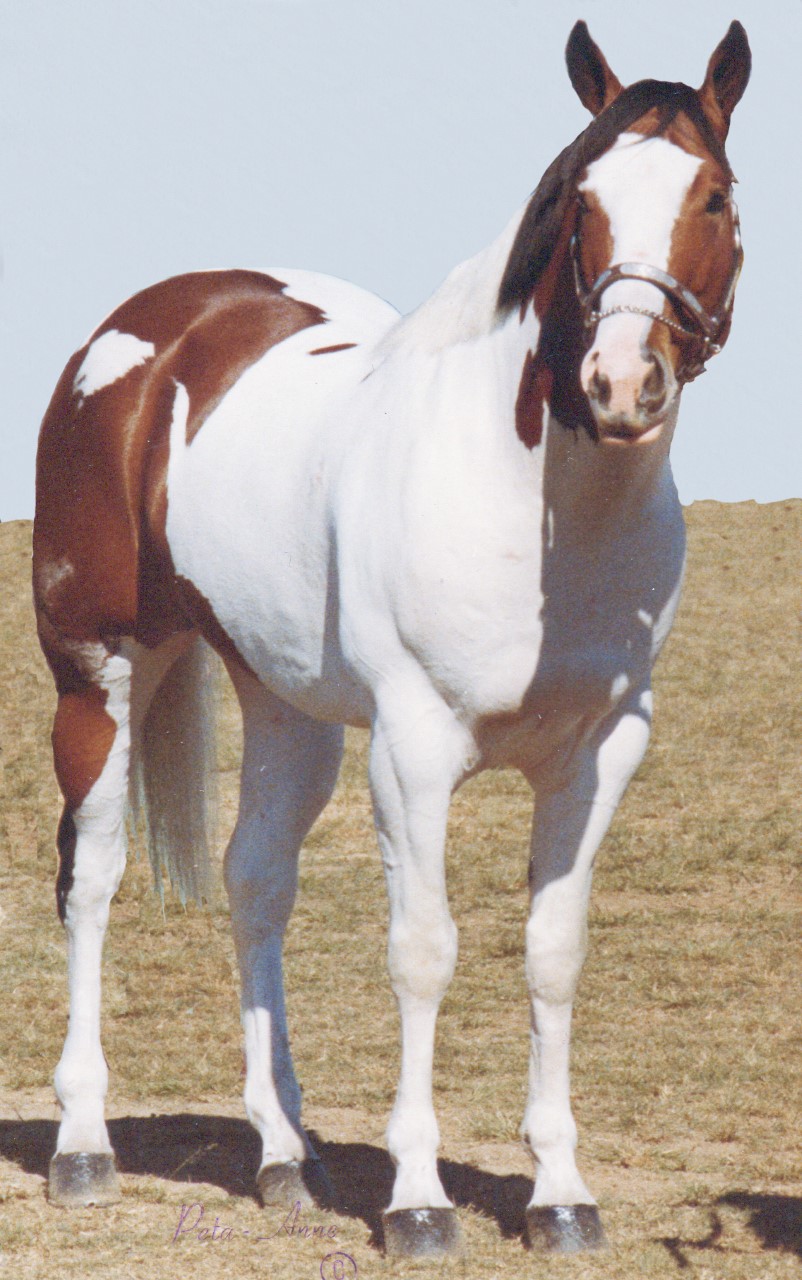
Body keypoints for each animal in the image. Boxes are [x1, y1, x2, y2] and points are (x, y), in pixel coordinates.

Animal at [32, 19, 750, 1257]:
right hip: (103, 673)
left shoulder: (600, 753)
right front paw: (418, 1199)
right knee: (96, 874)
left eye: (712, 194)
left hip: (287, 706)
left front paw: (561, 1195)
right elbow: (423, 950)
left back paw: (283, 1150)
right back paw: (84, 1142)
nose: (620, 381)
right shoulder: (414, 750)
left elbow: (552, 952)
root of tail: (149, 331)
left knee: (255, 880)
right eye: (579, 201)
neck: (533, 511)